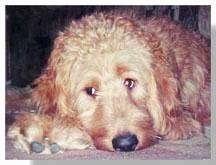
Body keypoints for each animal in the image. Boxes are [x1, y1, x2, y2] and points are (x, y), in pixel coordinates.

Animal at [7, 11, 211, 153]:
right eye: (90, 90)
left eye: (130, 82)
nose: (126, 143)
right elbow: (26, 95)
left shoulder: (182, 123)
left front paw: (50, 132)